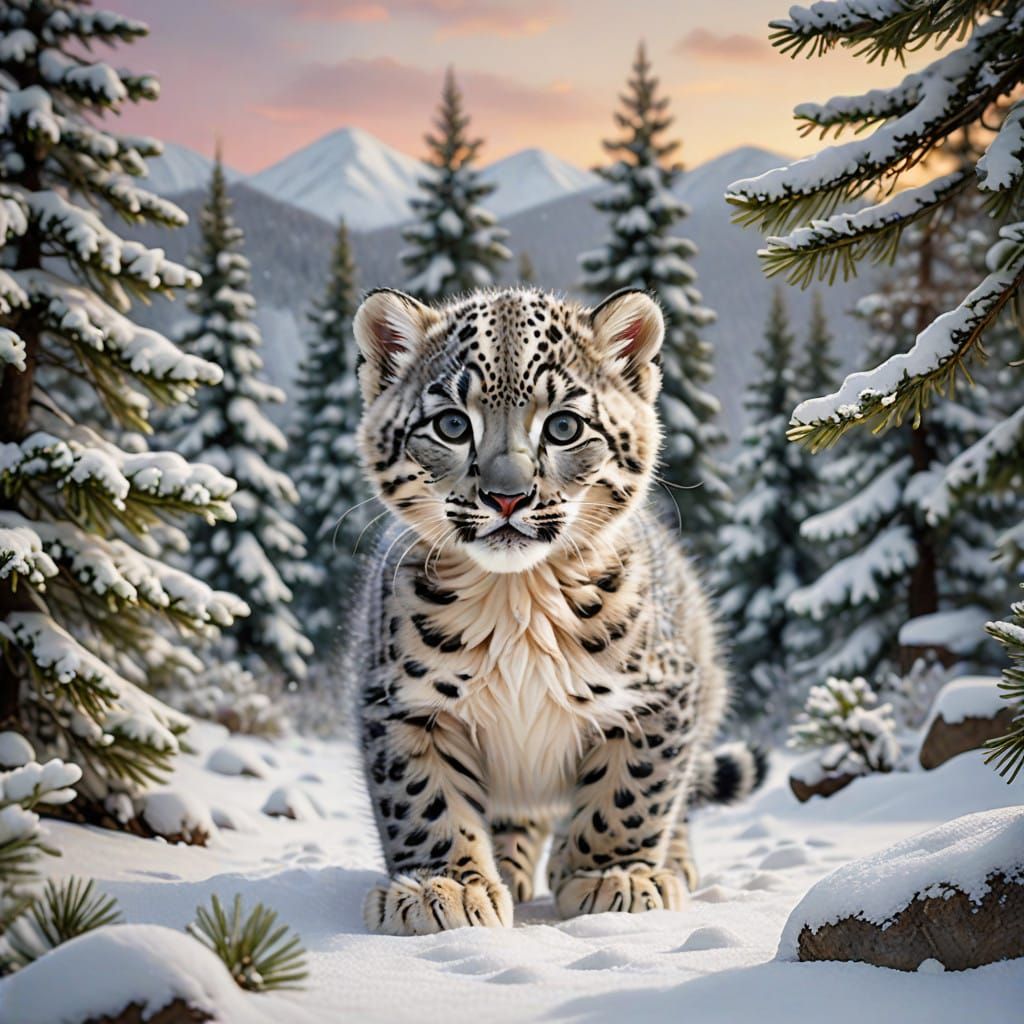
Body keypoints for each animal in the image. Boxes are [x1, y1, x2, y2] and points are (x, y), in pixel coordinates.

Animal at [347, 285, 765, 936]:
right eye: (450, 424)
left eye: (564, 425)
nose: (507, 496)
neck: (518, 599)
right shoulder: (405, 700)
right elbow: (424, 798)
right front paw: (443, 888)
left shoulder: (659, 697)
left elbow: (632, 792)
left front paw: (614, 876)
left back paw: (663, 864)